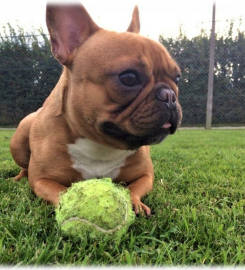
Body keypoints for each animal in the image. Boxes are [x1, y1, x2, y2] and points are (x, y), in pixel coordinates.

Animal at [10, 0, 182, 215]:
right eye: (129, 77)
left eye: (177, 78)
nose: (170, 95)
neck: (100, 146)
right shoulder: (42, 180)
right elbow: (61, 193)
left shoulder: (145, 175)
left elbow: (134, 189)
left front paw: (136, 203)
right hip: (19, 141)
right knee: (24, 166)